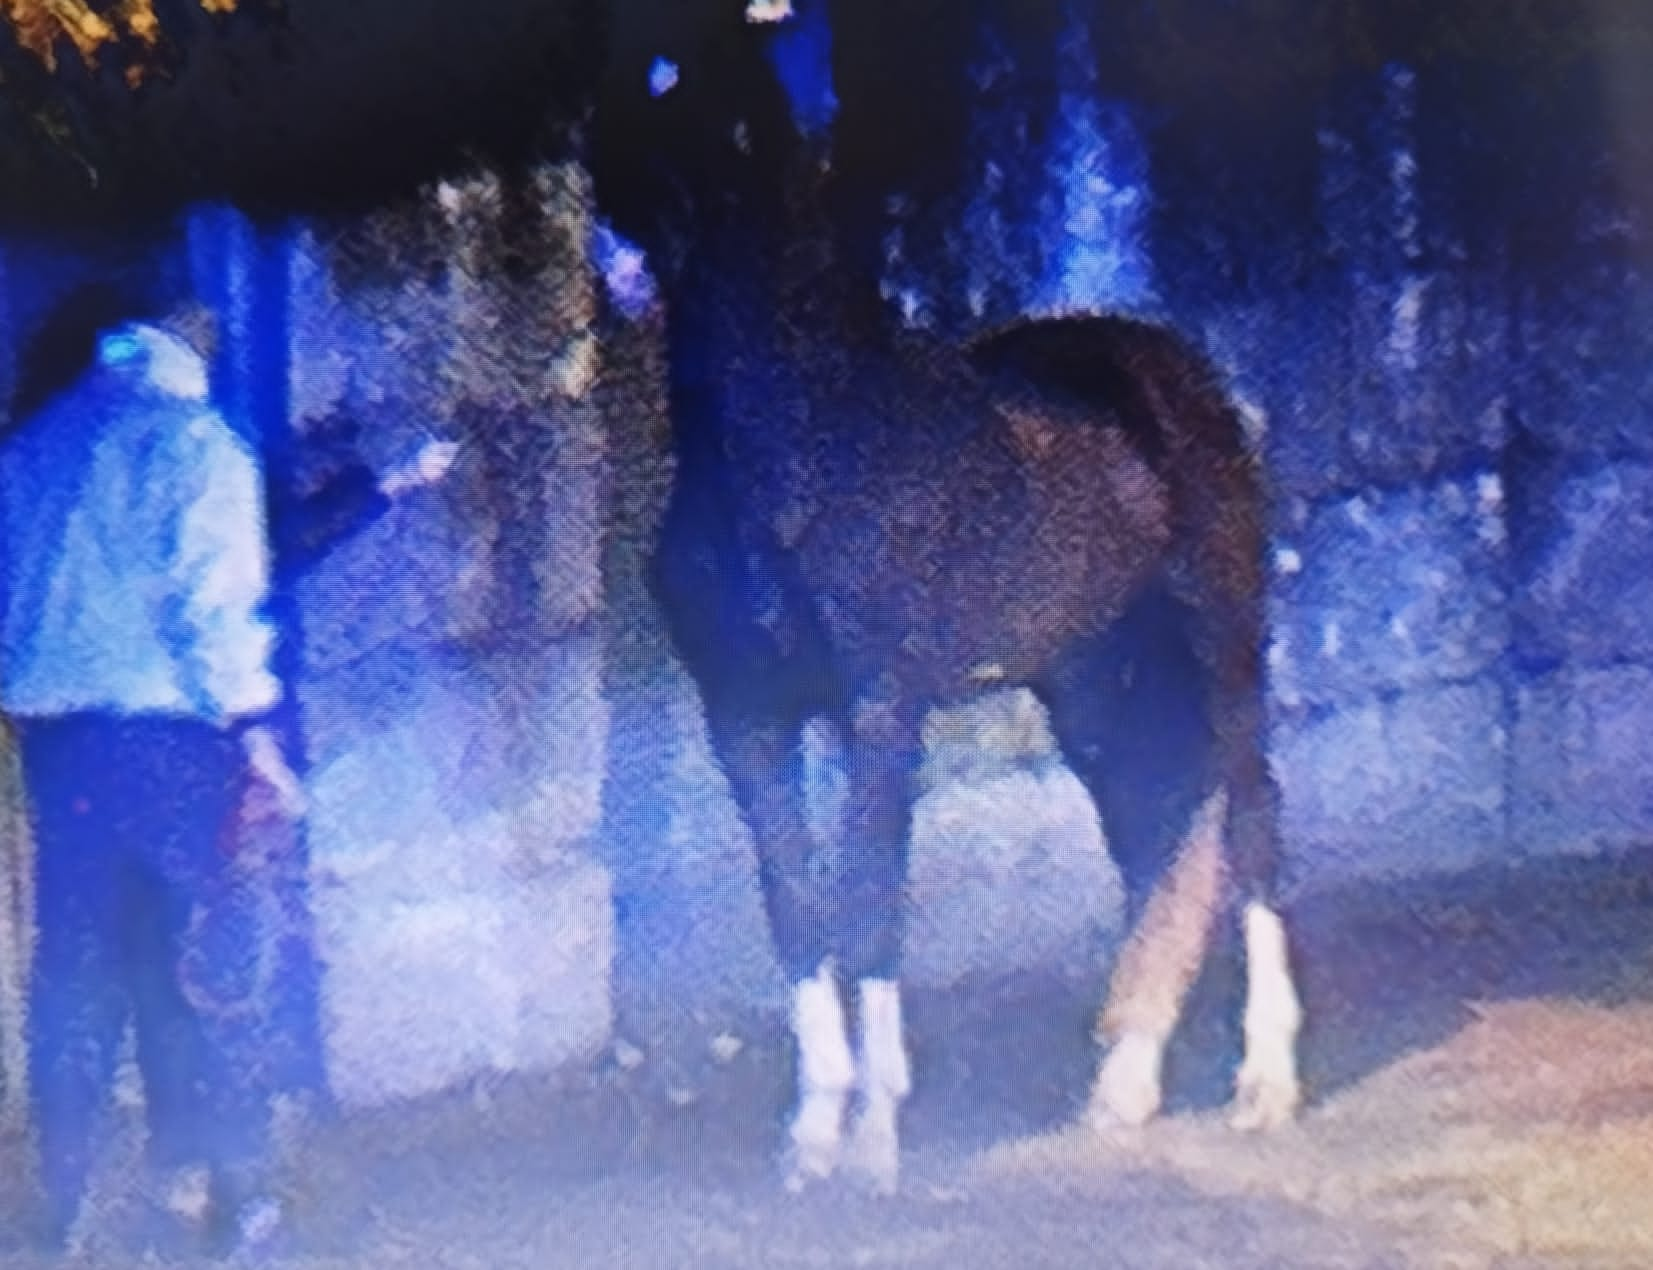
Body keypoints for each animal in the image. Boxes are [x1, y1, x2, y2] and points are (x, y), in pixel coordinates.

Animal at [595, 0, 1302, 1190]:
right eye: (621, 75)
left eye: (691, 81)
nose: (608, 235)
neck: (799, 446)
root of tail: (1172, 365)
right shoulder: (745, 719)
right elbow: (797, 908)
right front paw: (813, 1133)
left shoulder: (880, 710)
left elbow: (870, 902)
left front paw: (874, 1134)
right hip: (1096, 689)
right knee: (1160, 831)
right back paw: (1125, 1083)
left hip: (1225, 646)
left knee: (1250, 823)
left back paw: (1267, 1082)